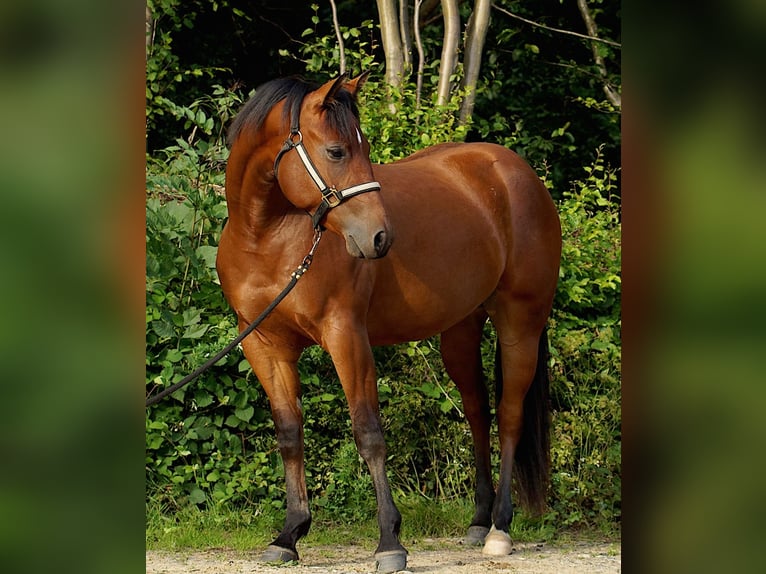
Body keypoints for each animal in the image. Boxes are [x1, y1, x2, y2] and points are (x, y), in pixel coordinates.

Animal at [216, 73, 561, 573]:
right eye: (337, 151)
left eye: (364, 147)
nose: (380, 238)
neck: (268, 239)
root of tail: (518, 173)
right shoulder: (264, 345)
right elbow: (289, 433)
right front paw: (289, 535)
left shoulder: (346, 336)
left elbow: (369, 434)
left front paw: (389, 542)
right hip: (461, 329)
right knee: (477, 410)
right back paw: (479, 521)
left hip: (521, 322)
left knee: (509, 414)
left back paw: (500, 528)